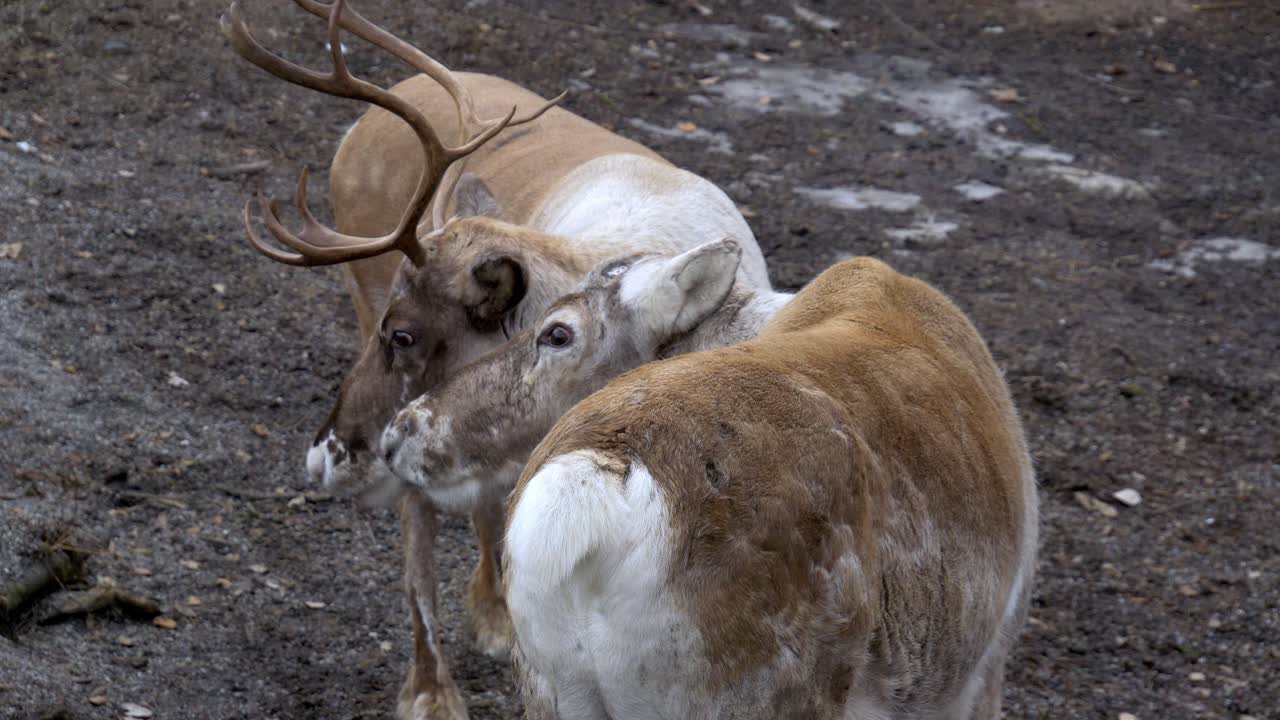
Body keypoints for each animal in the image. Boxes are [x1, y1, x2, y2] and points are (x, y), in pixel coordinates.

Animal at [385, 248, 1037, 718]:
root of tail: (597, 481)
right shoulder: (984, 668)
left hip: (551, 688)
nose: (399, 432)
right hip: (754, 694)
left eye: (557, 332)